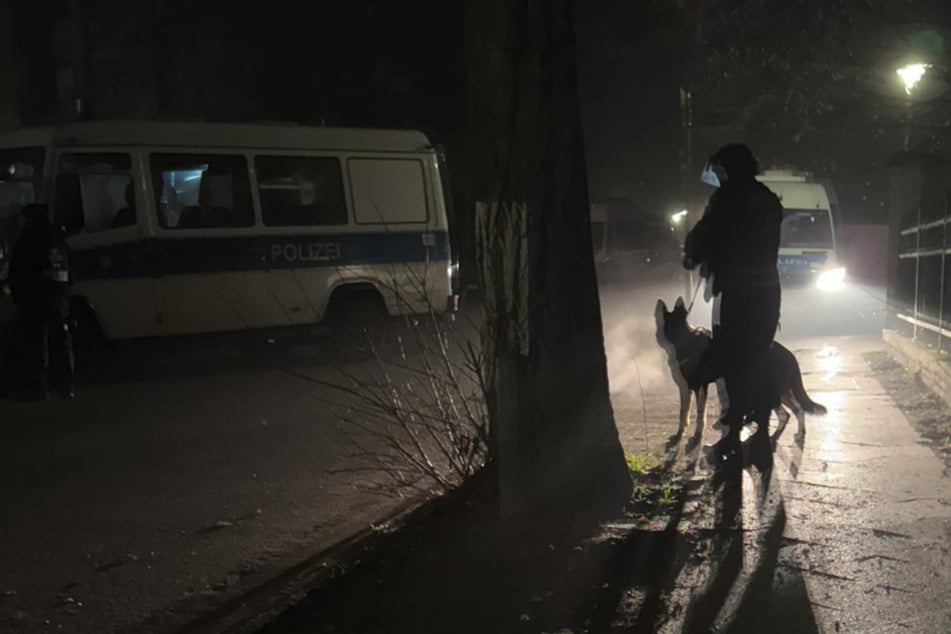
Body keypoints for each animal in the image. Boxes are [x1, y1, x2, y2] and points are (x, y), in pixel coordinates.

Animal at [656, 296, 824, 440]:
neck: (682, 340)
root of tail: (788, 353)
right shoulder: (685, 388)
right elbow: (683, 414)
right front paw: (680, 433)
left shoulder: (699, 387)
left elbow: (699, 414)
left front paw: (697, 435)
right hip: (780, 390)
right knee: (794, 412)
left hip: (769, 389)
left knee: (787, 412)